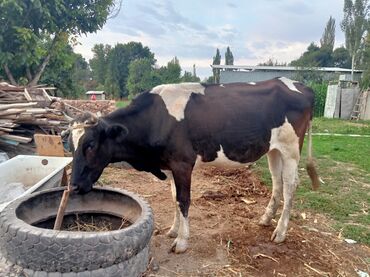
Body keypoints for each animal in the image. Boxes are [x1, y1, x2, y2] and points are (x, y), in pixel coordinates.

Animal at [68, 77, 320, 252]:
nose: (74, 186)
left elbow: (183, 200)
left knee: (290, 187)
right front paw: (173, 230)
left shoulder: (182, 164)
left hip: (291, 149)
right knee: (277, 183)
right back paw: (266, 219)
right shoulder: (170, 165)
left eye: (90, 145)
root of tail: (299, 85)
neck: (157, 118)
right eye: (69, 144)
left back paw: (280, 232)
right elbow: (174, 198)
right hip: (273, 150)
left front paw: (181, 241)